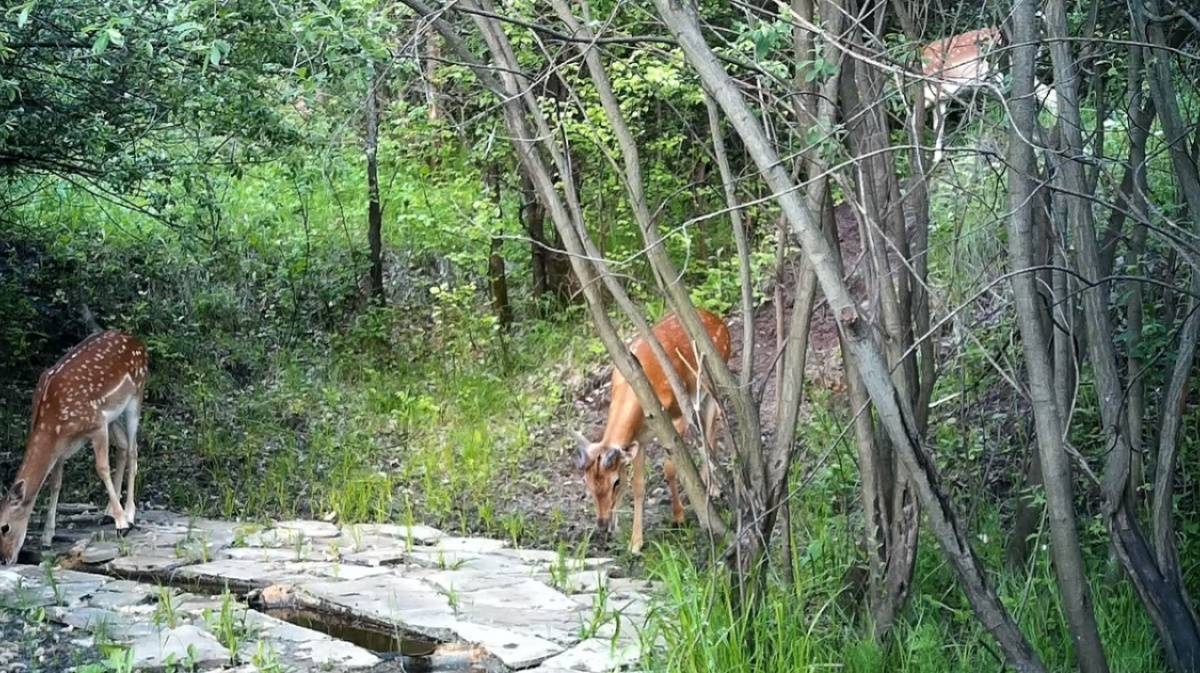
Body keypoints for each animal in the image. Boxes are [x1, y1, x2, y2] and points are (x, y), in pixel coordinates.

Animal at [0, 328, 147, 561]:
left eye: (5, 527)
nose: (5, 559)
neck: (53, 424)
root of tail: (138, 342)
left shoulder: (96, 424)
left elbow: (102, 468)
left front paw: (122, 523)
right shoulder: (61, 448)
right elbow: (55, 483)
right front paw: (46, 536)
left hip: (136, 395)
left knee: (133, 450)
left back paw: (129, 514)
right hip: (113, 415)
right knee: (123, 446)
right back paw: (107, 512)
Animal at [571, 309, 729, 551]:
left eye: (615, 483)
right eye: (587, 484)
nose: (603, 525)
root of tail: (718, 320)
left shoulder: (675, 417)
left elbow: (670, 467)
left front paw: (679, 517)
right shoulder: (639, 439)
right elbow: (639, 486)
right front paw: (635, 543)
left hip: (710, 385)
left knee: (711, 428)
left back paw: (712, 489)